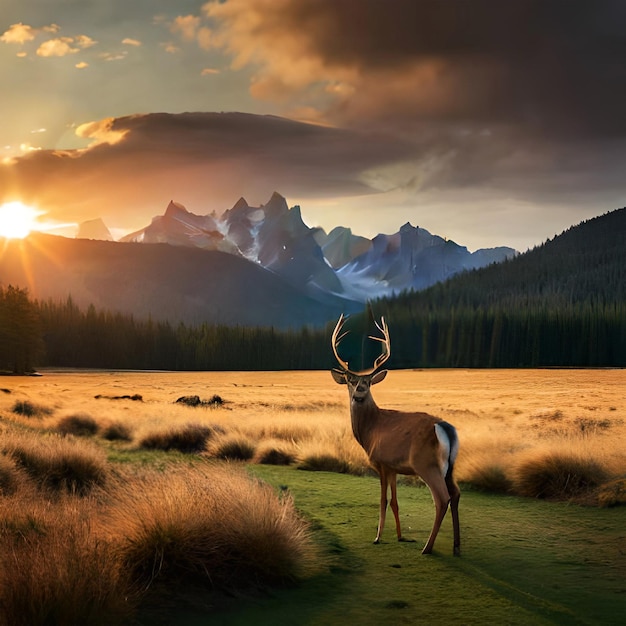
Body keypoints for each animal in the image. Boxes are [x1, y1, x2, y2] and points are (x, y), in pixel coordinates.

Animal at [332, 314, 458, 552]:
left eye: (368, 382)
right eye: (351, 382)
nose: (359, 394)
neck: (370, 432)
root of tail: (445, 428)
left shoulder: (381, 462)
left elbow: (382, 501)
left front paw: (378, 537)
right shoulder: (393, 468)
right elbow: (395, 502)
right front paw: (399, 536)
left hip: (426, 464)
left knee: (442, 499)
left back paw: (427, 548)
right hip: (450, 468)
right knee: (456, 494)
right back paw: (456, 548)